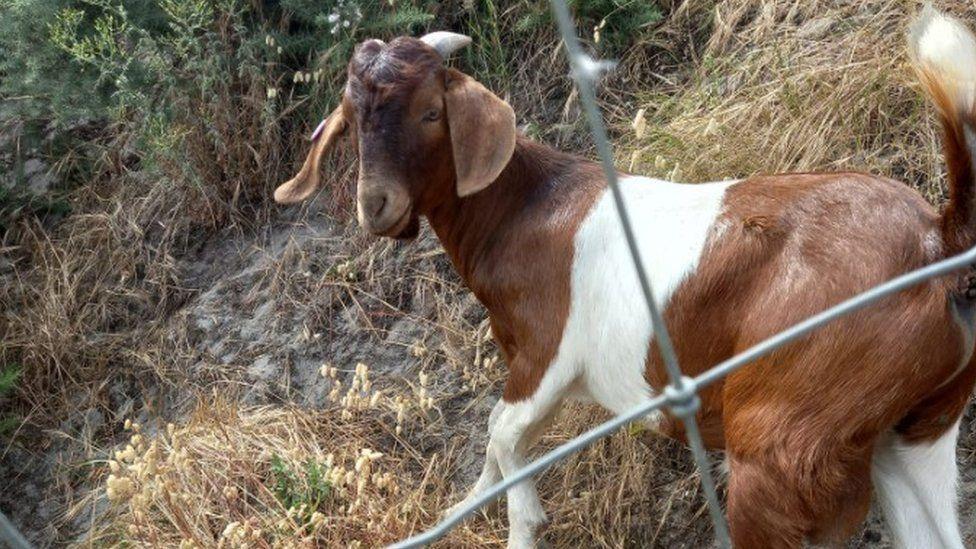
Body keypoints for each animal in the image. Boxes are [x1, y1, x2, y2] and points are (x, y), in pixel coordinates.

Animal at [272, 8, 976, 548]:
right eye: (352, 120)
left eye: (429, 113)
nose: (377, 206)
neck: (526, 208)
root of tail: (937, 239)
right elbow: (496, 445)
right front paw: (461, 511)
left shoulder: (547, 356)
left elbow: (502, 434)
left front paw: (523, 524)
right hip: (916, 430)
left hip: (785, 434)